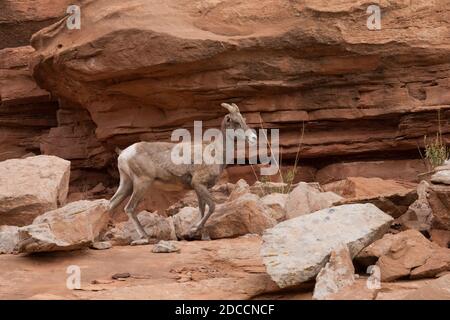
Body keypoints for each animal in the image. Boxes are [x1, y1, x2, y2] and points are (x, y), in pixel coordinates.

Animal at [108, 104, 256, 241]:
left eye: (243, 119)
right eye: (236, 121)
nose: (253, 138)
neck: (215, 151)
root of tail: (124, 154)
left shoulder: (199, 188)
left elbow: (202, 209)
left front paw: (202, 236)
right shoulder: (199, 184)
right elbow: (212, 207)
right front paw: (193, 230)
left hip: (127, 184)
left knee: (111, 205)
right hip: (142, 183)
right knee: (129, 208)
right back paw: (145, 236)